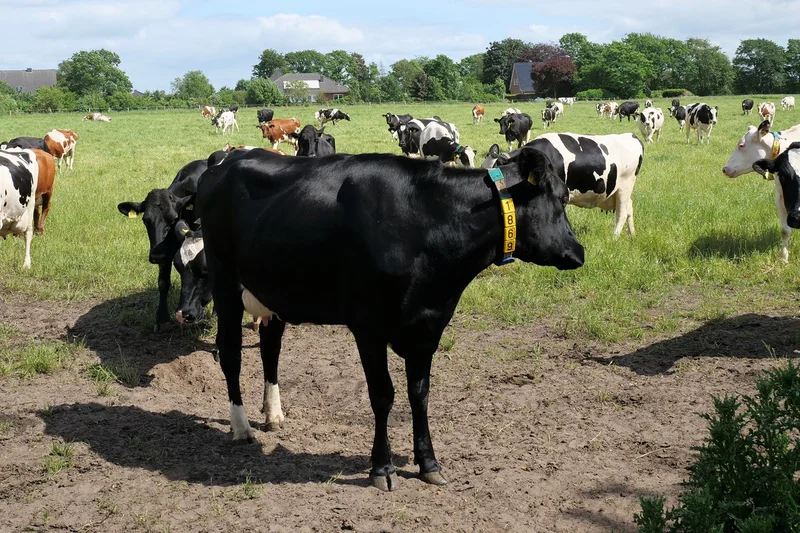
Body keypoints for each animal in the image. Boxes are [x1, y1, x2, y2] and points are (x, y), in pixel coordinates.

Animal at [117, 159, 209, 331]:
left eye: (173, 219)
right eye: (145, 220)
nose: (156, 255)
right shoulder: (166, 252)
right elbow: (163, 282)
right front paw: (162, 319)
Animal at [195, 147, 584, 491]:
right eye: (562, 198)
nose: (578, 252)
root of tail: (225, 160)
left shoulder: (428, 326)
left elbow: (419, 395)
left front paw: (429, 463)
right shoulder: (368, 326)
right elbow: (382, 396)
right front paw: (382, 468)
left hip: (273, 289)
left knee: (270, 347)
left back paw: (272, 414)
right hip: (224, 279)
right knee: (230, 352)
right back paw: (241, 426)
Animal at [485, 133, 644, 237]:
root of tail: (631, 136)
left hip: (625, 185)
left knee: (622, 213)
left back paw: (614, 238)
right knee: (629, 208)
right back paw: (632, 235)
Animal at [722, 120, 800, 261]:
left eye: (741, 145)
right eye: (783, 176)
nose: (724, 169)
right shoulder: (780, 196)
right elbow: (785, 230)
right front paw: (783, 257)